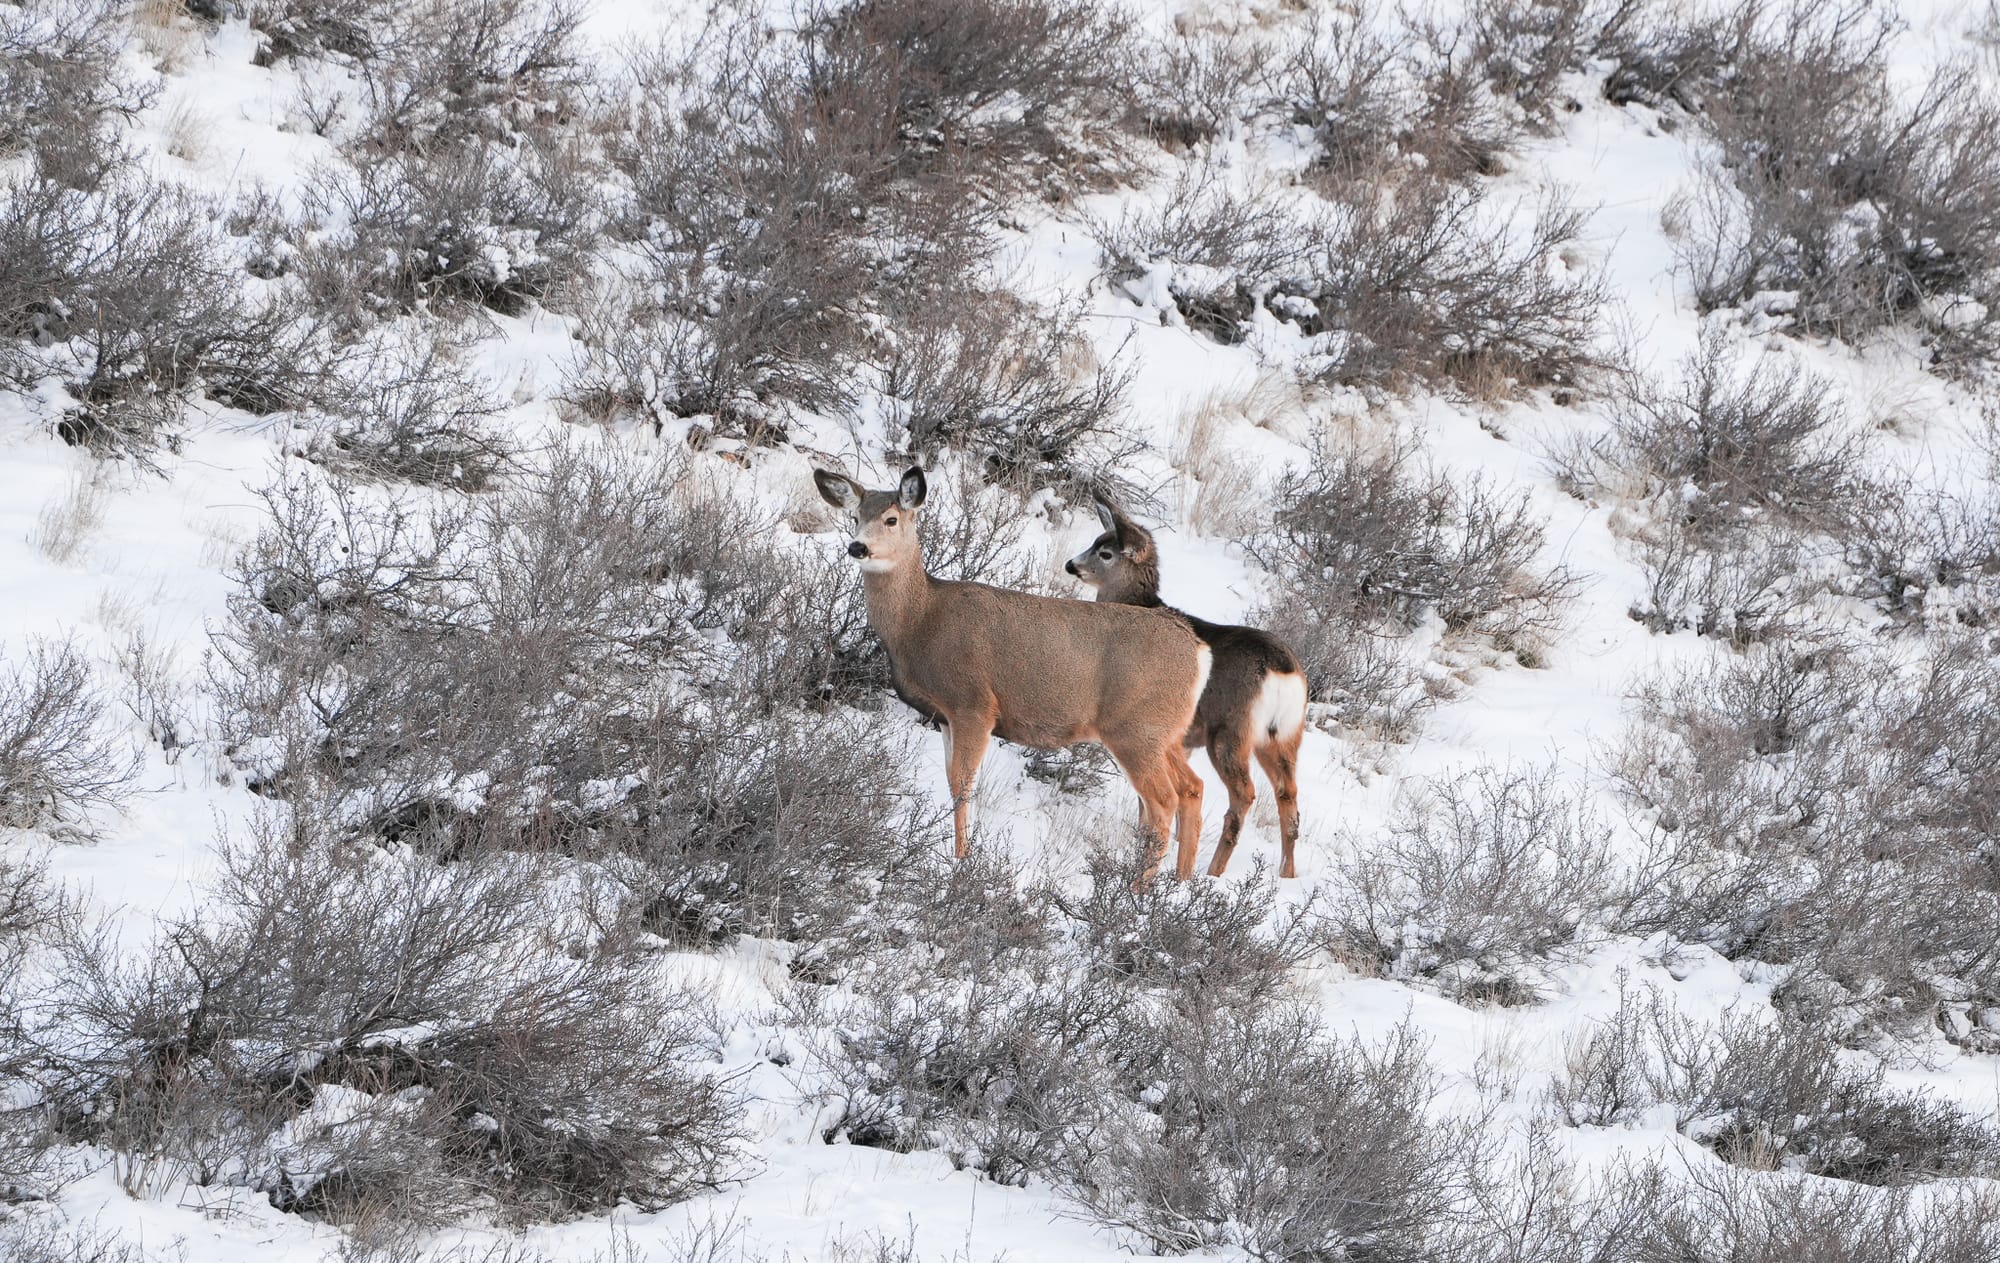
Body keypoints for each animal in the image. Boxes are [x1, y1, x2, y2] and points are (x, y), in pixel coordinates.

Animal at [816, 469, 1216, 883]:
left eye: (891, 519)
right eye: (855, 517)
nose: (858, 547)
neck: (921, 620)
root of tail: (1199, 651)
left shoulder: (974, 703)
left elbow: (962, 784)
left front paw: (962, 861)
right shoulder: (943, 716)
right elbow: (952, 780)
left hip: (1135, 730)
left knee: (1163, 801)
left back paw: (1138, 889)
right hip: (1164, 734)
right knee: (1192, 788)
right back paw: (1180, 883)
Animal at [1064, 495, 1312, 879]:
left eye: (1105, 553)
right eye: (1095, 541)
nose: (1071, 565)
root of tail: (1281, 672)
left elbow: (1148, 798)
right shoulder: (1181, 740)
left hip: (1229, 732)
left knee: (1245, 794)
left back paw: (1214, 870)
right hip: (1284, 735)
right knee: (1289, 796)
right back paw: (1286, 873)